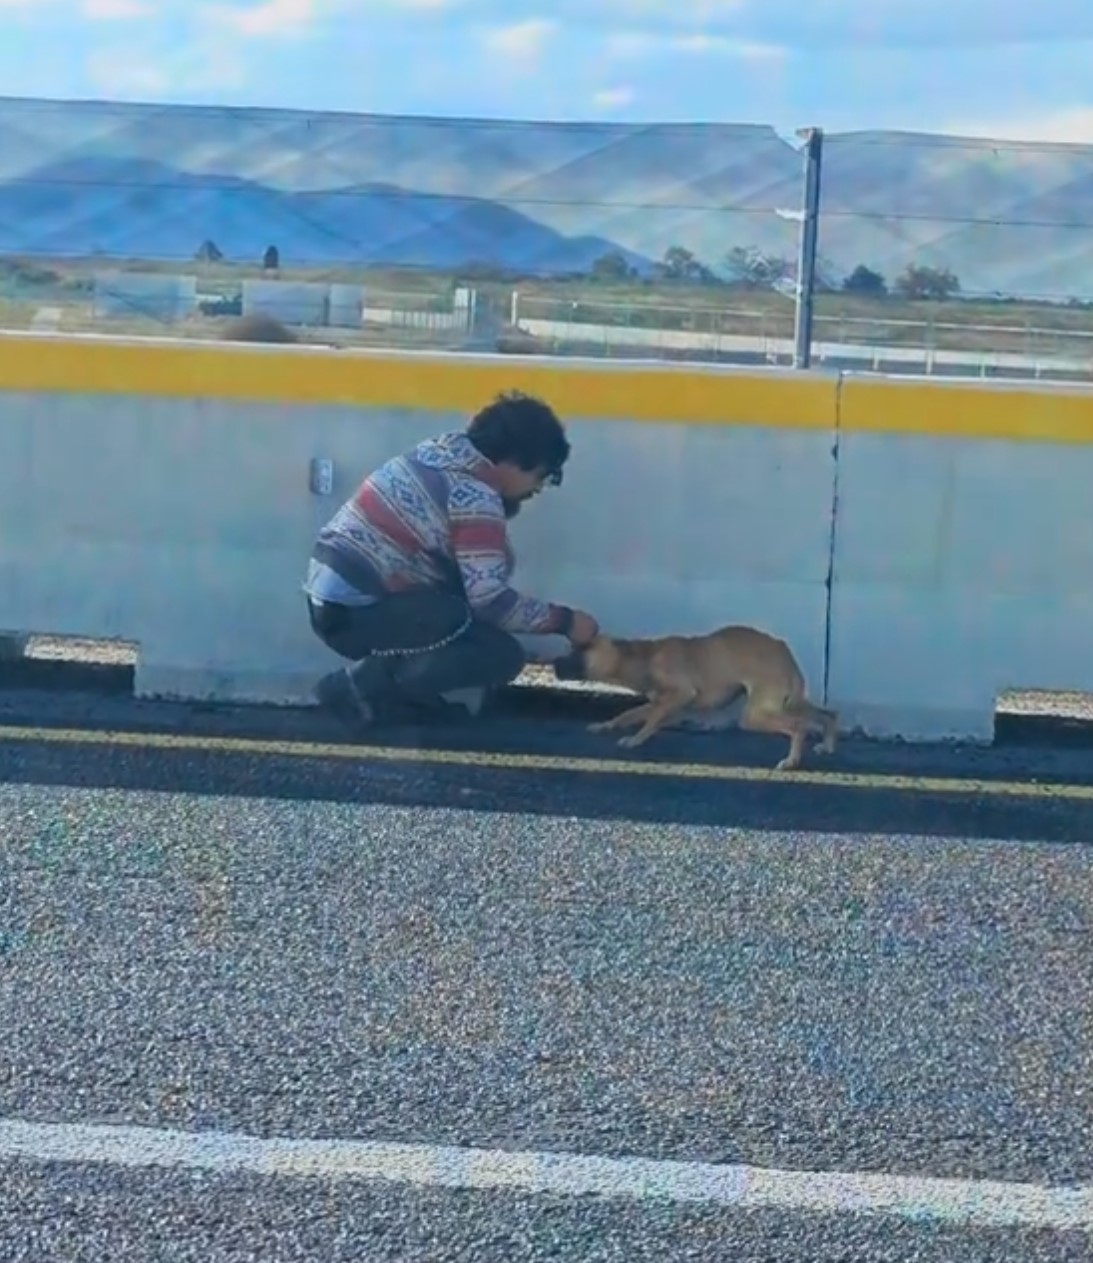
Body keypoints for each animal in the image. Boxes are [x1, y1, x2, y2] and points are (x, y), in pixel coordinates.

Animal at [553, 623, 833, 767]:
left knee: (798, 725)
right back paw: (826, 745)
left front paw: (636, 739)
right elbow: (628, 714)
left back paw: (792, 759)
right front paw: (606, 725)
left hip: (757, 714)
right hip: (788, 702)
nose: (554, 663)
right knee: (829, 714)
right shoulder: (661, 702)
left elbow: (650, 720)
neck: (641, 657)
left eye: (580, 650)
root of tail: (785, 652)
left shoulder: (679, 694)